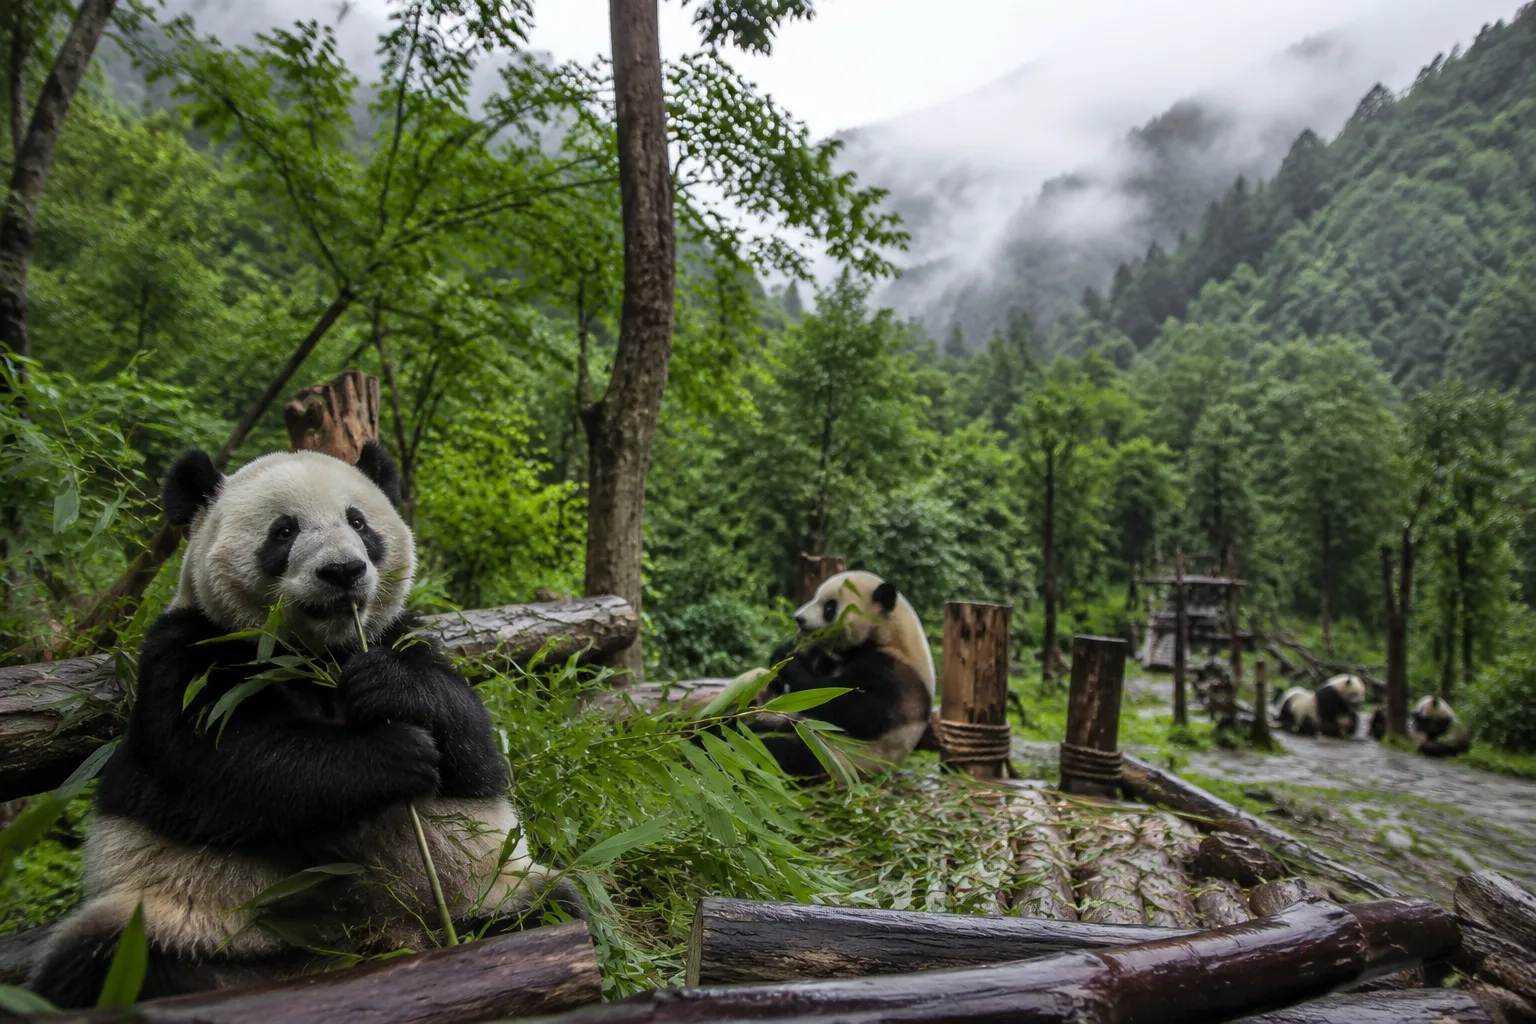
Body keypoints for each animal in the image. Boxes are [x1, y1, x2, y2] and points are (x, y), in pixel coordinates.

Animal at [27, 443, 581, 1007]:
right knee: (105, 960)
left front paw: (390, 687)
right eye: (284, 531)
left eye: (358, 521)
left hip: (487, 886)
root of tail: (379, 943)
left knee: (554, 904)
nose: (343, 571)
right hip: (181, 919)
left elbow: (478, 748)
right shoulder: (190, 649)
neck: (318, 654)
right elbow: (224, 762)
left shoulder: (399, 634)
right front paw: (394, 753)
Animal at [741, 570, 935, 779]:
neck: (890, 635)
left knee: (778, 752)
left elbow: (855, 710)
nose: (798, 618)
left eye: (830, 606)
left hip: (834, 756)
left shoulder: (893, 673)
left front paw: (786, 656)